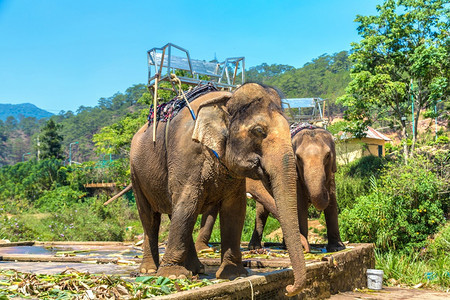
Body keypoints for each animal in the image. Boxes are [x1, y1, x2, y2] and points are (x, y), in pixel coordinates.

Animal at [129, 82, 306, 296]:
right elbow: (187, 204)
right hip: (135, 174)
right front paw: (172, 276)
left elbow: (234, 210)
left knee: (175, 213)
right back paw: (150, 270)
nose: (288, 288)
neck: (226, 99)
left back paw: (196, 269)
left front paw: (233, 274)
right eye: (258, 131)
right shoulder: (185, 156)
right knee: (150, 217)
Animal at [195, 125, 346, 254]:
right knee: (262, 213)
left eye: (327, 156)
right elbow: (300, 204)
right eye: (298, 158)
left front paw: (337, 248)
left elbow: (332, 203)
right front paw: (305, 248)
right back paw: (255, 247)